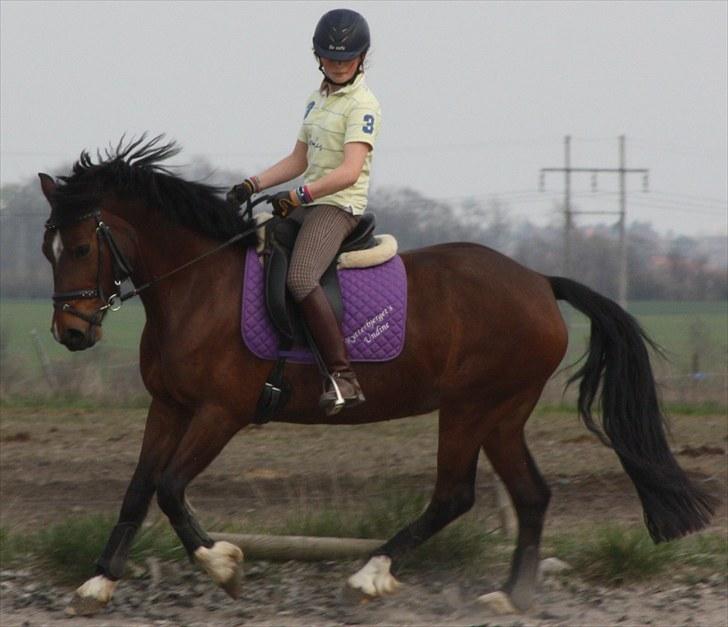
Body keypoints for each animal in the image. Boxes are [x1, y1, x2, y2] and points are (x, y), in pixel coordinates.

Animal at [37, 139, 712, 620]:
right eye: (48, 250)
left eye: (80, 248)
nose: (71, 333)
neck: (197, 287)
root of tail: (540, 282)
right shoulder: (169, 407)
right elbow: (138, 488)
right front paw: (97, 584)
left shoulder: (220, 413)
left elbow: (172, 488)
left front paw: (225, 566)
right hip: (502, 413)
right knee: (530, 494)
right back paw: (508, 596)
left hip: (471, 407)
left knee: (455, 495)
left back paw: (370, 575)